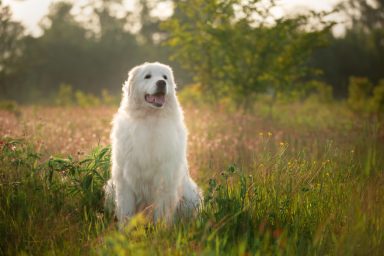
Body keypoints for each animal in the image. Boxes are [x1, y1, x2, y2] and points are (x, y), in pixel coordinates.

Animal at [104, 62, 201, 224]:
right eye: (147, 76)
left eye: (165, 77)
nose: (161, 83)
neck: (150, 118)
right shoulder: (125, 179)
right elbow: (126, 210)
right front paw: (125, 229)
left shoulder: (165, 177)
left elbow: (162, 211)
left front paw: (160, 229)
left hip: (191, 195)